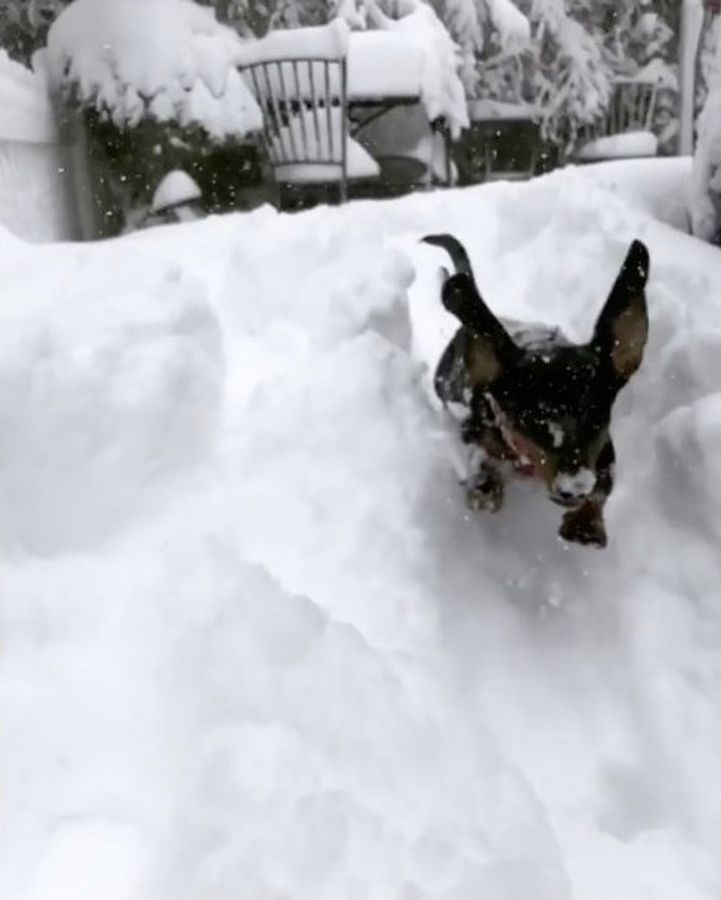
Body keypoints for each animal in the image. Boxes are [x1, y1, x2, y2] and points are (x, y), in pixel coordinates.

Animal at [424, 234, 648, 548]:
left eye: (597, 419)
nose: (573, 488)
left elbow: (604, 484)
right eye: (532, 421)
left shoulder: (604, 451)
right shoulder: (469, 429)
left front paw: (585, 525)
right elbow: (478, 460)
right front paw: (485, 489)